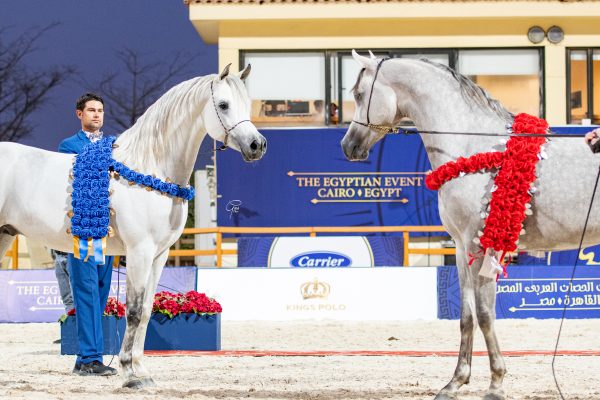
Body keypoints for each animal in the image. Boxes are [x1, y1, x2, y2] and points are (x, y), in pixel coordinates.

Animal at [0, 65, 268, 388]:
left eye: (246, 103)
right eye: (225, 105)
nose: (257, 145)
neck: (150, 166)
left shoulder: (159, 255)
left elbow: (148, 310)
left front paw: (141, 369)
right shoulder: (139, 252)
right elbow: (135, 310)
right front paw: (129, 373)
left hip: (4, 235)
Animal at [340, 50, 596, 400]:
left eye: (358, 94)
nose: (348, 145)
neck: (472, 147)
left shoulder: (482, 245)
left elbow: (486, 314)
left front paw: (496, 383)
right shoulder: (462, 249)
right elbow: (467, 316)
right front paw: (455, 382)